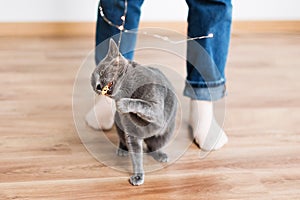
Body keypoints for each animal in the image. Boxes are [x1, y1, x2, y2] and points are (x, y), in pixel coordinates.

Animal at [90, 39, 177, 186]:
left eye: (101, 72)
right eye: (93, 86)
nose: (97, 87)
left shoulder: (157, 110)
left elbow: (141, 104)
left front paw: (123, 103)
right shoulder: (131, 132)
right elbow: (136, 155)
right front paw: (138, 175)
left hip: (165, 135)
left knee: (153, 147)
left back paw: (161, 155)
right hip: (119, 125)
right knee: (126, 141)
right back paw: (122, 150)